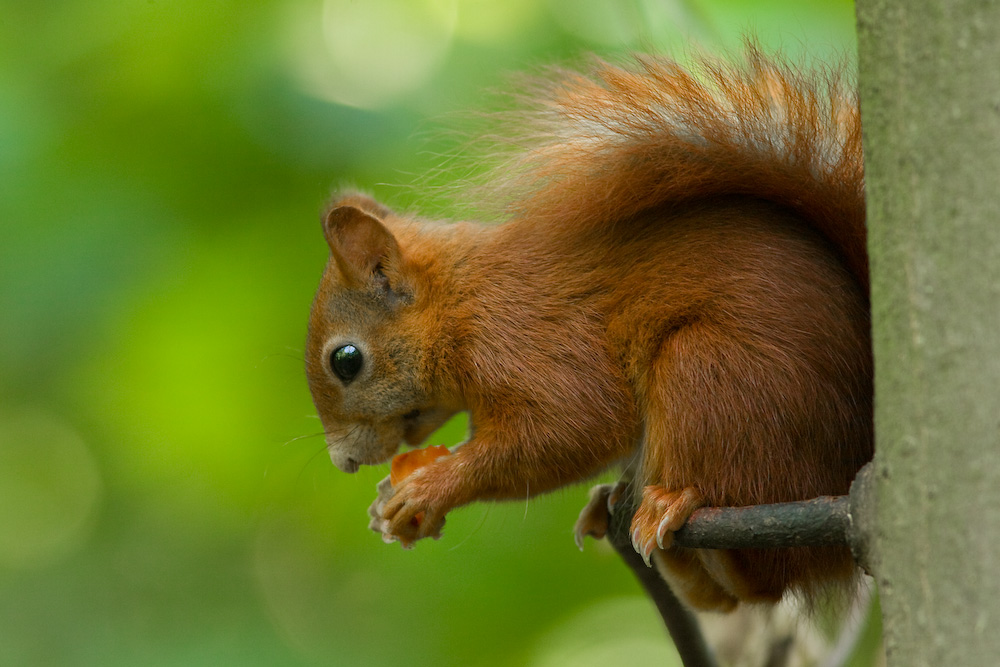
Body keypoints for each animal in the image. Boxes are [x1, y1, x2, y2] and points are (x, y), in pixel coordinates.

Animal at [302, 44, 868, 612]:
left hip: (712, 375)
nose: (343, 461)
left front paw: (431, 487)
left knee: (762, 580)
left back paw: (678, 508)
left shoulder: (524, 340)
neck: (460, 304)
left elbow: (578, 426)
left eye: (346, 360)